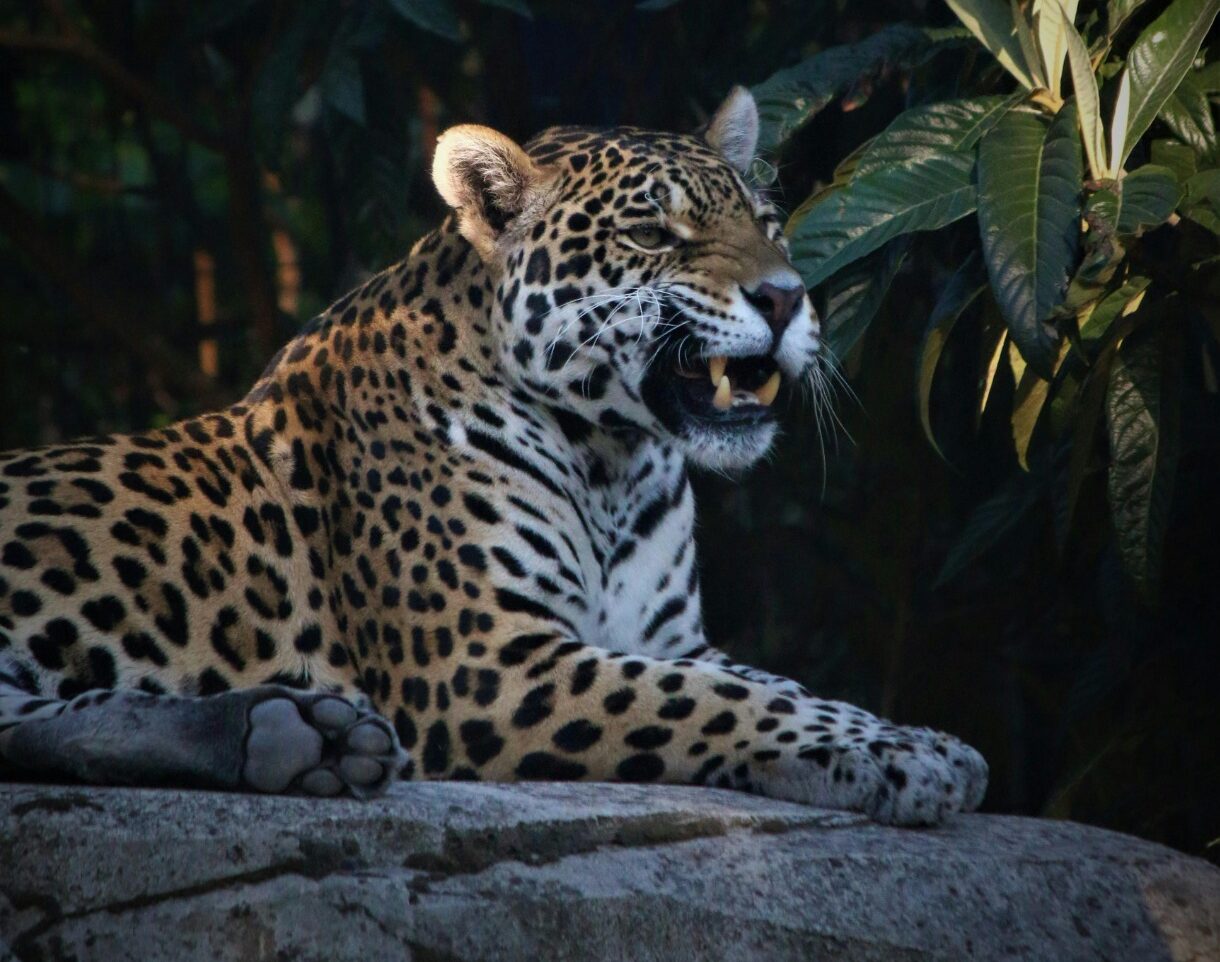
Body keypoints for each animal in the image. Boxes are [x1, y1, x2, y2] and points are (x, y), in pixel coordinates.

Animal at [0, 88, 987, 825]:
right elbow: (713, 703)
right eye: (652, 235)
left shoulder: (672, 639)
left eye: (772, 226)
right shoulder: (488, 662)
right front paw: (909, 759)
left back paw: (296, 736)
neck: (614, 459)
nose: (786, 297)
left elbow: (781, 686)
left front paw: (917, 741)